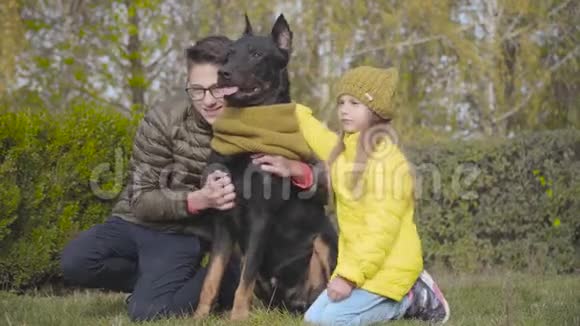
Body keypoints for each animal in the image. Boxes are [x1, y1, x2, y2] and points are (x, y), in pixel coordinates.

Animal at [195, 14, 338, 320]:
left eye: (257, 55)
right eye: (229, 53)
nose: (223, 73)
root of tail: (292, 303)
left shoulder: (260, 217)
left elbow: (244, 279)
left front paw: (237, 318)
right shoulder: (223, 218)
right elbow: (212, 277)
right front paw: (199, 316)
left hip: (324, 238)